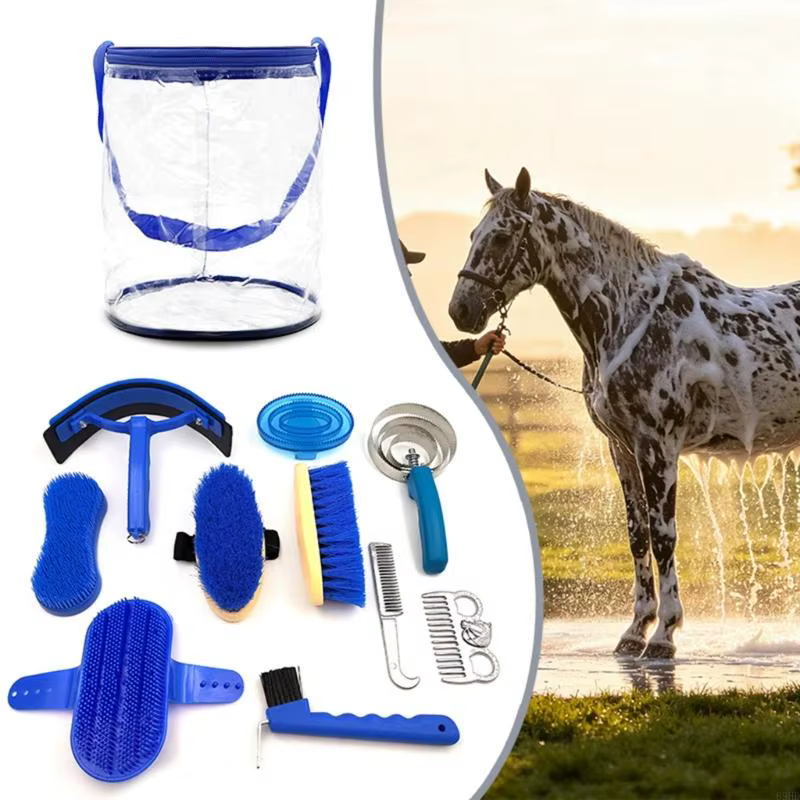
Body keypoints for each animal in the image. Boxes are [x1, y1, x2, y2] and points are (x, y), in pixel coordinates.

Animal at [450, 167, 800, 658]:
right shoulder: (623, 448)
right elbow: (637, 536)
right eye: (472, 234)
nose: (460, 311)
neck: (627, 315)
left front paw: (665, 634)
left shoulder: (658, 446)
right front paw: (636, 630)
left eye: (501, 237)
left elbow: (663, 535)